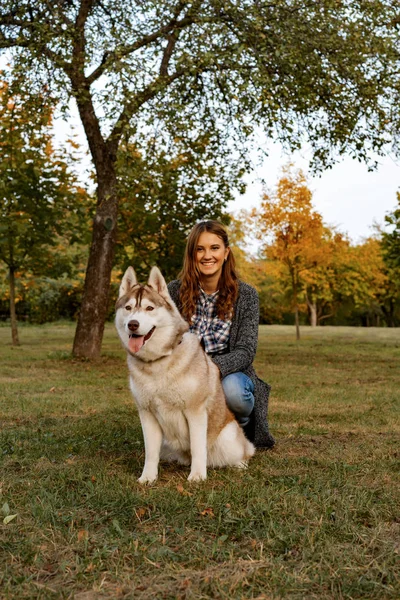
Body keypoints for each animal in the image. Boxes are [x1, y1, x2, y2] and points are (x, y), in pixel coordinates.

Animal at [114, 268, 255, 482]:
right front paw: (148, 477)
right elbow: (150, 452)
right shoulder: (146, 413)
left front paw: (197, 476)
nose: (133, 324)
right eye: (128, 308)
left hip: (229, 437)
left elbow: (198, 448)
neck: (158, 362)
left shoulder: (195, 412)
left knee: (244, 451)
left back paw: (239, 464)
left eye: (149, 308)